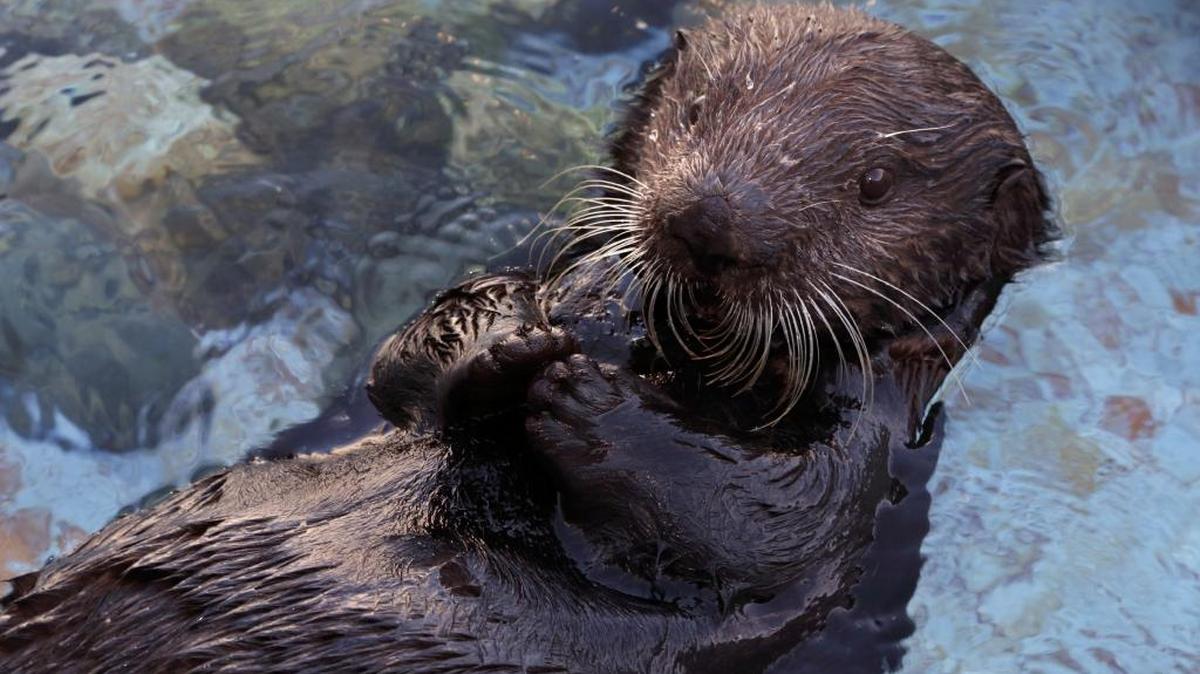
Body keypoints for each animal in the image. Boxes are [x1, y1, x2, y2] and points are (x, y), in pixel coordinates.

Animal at [0, 5, 1052, 673]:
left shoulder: (863, 460)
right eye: (699, 110)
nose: (709, 219)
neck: (664, 357)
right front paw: (507, 337)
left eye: (875, 184)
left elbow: (763, 521)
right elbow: (399, 361)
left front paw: (583, 399)